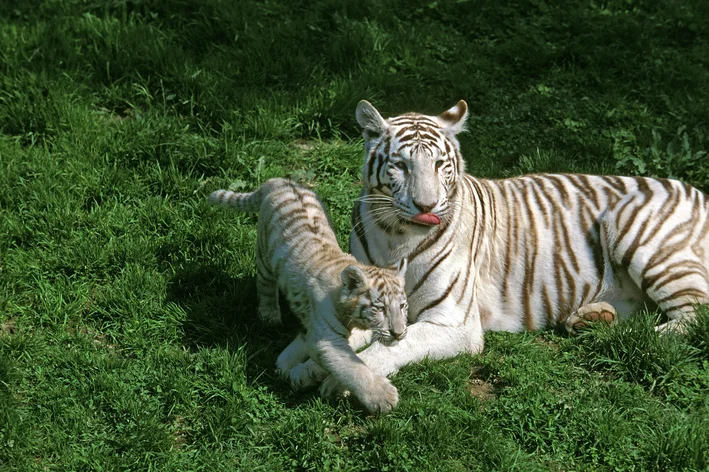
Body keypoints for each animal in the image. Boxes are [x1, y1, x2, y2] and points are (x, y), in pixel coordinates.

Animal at [207, 179, 406, 414]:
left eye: (402, 306)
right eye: (380, 308)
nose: (399, 333)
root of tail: (279, 181)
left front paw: (301, 368)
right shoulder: (327, 339)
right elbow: (352, 367)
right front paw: (383, 397)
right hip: (265, 256)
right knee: (265, 285)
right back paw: (269, 315)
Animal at [312, 97, 708, 390]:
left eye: (439, 164)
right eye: (401, 165)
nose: (426, 206)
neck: (396, 235)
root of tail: (698, 191)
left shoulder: (453, 321)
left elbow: (395, 343)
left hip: (641, 238)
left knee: (693, 316)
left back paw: (631, 338)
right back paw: (591, 319)